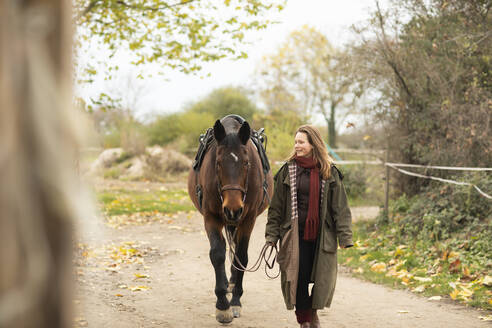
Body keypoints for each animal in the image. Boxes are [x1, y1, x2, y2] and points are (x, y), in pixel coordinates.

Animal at [187, 114, 274, 322]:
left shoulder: (248, 219)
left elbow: (241, 256)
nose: (233, 208)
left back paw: (233, 283)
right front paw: (222, 305)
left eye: (246, 163)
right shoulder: (211, 217)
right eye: (218, 163)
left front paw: (235, 301)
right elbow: (217, 254)